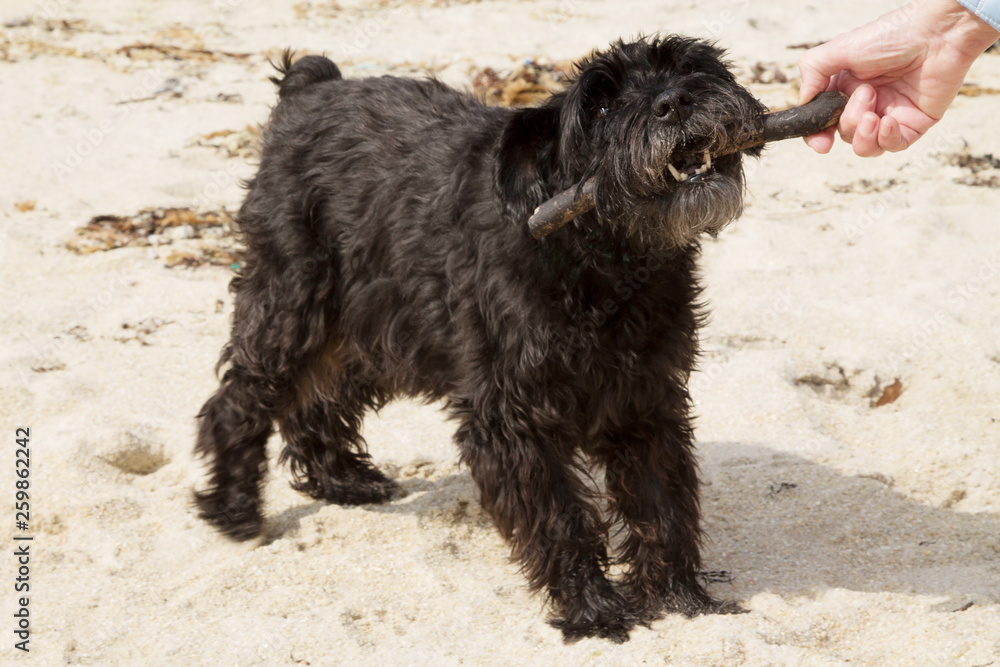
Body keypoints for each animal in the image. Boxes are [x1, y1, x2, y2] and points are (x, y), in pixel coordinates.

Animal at [191, 35, 760, 640]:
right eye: (601, 107)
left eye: (686, 65)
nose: (674, 103)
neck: (601, 259)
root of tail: (311, 89)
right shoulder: (512, 419)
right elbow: (560, 518)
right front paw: (592, 609)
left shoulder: (645, 403)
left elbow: (663, 503)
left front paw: (678, 596)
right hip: (294, 305)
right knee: (238, 400)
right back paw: (233, 508)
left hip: (376, 328)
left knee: (317, 398)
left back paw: (341, 480)